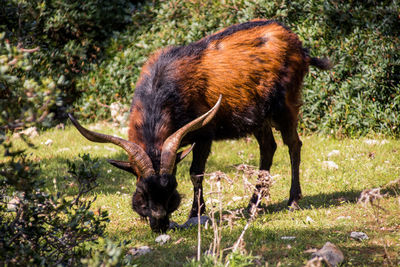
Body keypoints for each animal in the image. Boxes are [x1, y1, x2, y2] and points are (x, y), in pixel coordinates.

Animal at [68, 19, 332, 232]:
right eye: (142, 190)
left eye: (172, 187)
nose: (160, 224)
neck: (164, 87)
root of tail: (298, 44)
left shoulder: (204, 132)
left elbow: (196, 173)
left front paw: (196, 213)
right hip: (258, 114)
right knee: (268, 147)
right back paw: (252, 204)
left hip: (285, 104)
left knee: (293, 145)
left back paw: (292, 200)